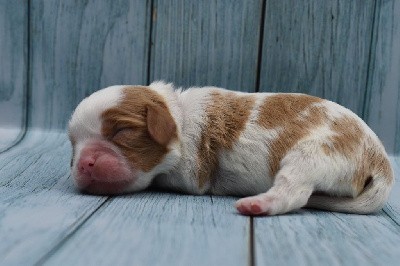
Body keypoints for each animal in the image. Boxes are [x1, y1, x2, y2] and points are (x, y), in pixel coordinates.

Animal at [69, 81, 394, 216]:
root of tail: (381, 162)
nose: (84, 163)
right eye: (73, 145)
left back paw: (257, 205)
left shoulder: (192, 173)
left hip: (311, 155)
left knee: (294, 193)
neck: (180, 116)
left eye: (121, 131)